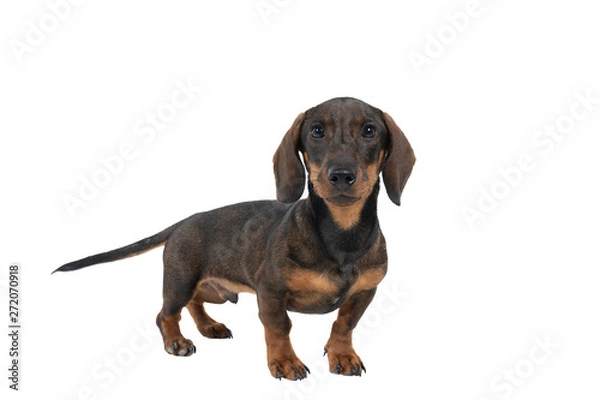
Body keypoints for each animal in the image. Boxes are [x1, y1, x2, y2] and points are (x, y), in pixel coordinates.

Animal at [54, 97, 414, 382]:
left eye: (369, 130)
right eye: (316, 131)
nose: (341, 175)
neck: (342, 236)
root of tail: (185, 221)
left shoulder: (365, 291)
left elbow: (344, 325)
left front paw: (342, 355)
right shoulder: (270, 291)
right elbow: (279, 327)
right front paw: (285, 362)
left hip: (212, 290)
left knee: (195, 304)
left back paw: (209, 326)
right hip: (180, 280)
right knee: (166, 313)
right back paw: (176, 342)